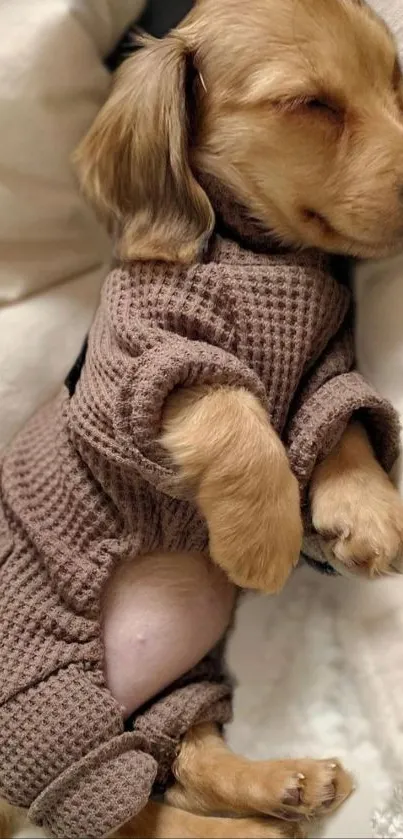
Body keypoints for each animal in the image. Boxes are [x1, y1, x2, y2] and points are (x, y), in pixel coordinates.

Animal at [2, 1, 403, 839]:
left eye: (394, 82)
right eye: (309, 103)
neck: (255, 253)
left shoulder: (325, 363)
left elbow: (340, 420)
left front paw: (363, 508)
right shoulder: (138, 370)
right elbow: (234, 410)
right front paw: (264, 537)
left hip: (173, 686)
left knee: (179, 759)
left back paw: (283, 784)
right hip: (44, 706)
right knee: (120, 813)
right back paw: (244, 828)